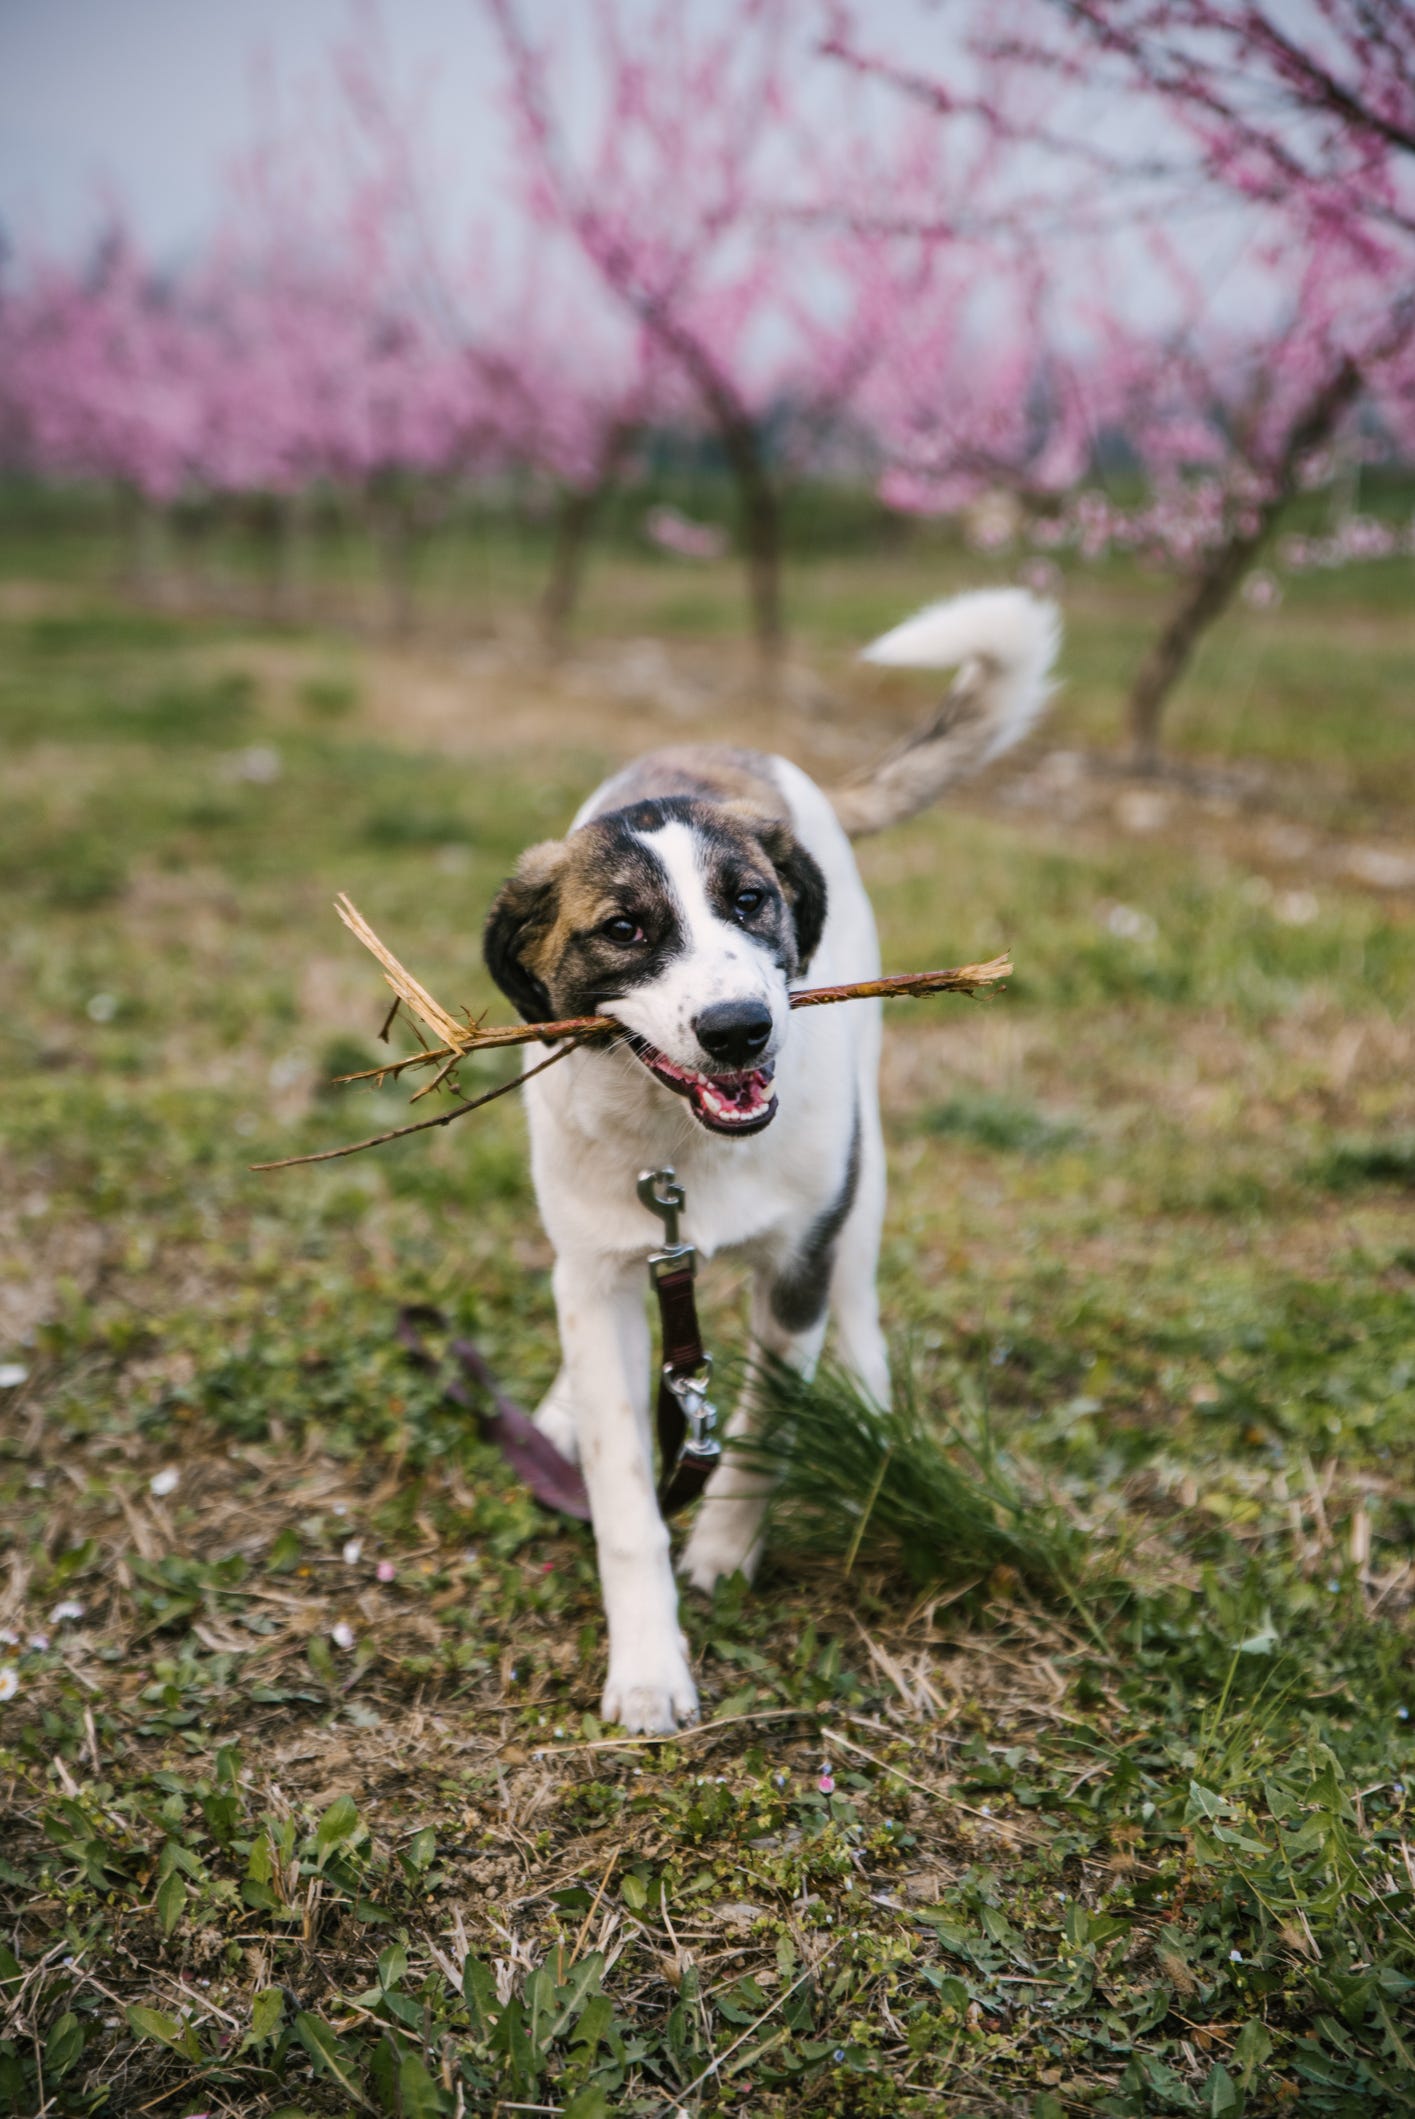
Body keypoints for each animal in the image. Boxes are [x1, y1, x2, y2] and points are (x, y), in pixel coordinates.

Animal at [480, 589, 1054, 1729]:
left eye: (750, 902)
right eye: (623, 928)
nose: (740, 1029)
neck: (681, 1148)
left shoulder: (798, 1262)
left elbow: (761, 1431)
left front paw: (723, 1551)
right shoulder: (603, 1266)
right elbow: (624, 1491)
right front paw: (648, 1664)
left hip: (861, 1184)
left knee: (861, 1296)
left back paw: (870, 1404)